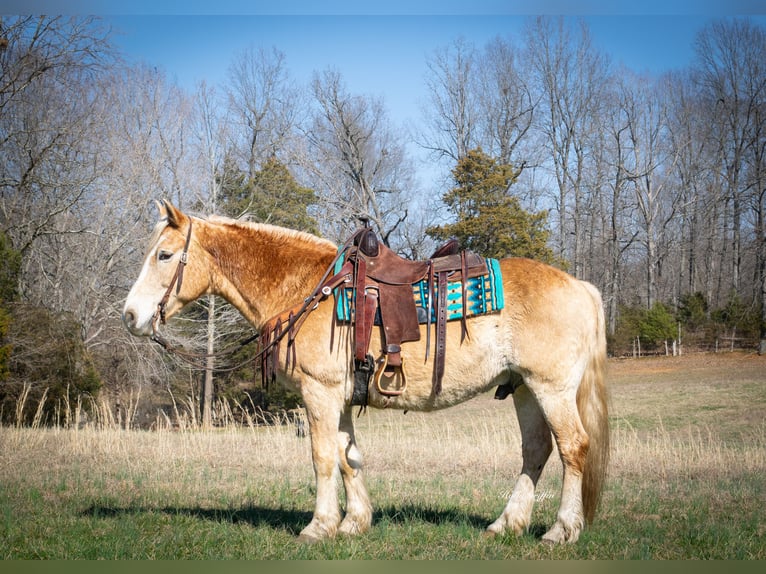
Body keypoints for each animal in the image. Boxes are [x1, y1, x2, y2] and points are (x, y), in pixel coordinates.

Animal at [121, 200, 612, 548]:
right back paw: (506, 524)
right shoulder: (338, 398)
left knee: (573, 447)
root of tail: (581, 286)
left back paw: (561, 530)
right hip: (525, 389)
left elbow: (322, 458)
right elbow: (348, 456)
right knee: (536, 451)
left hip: (552, 389)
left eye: (164, 255)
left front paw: (318, 526)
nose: (130, 316)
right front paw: (354, 523)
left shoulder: (318, 393)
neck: (308, 289)